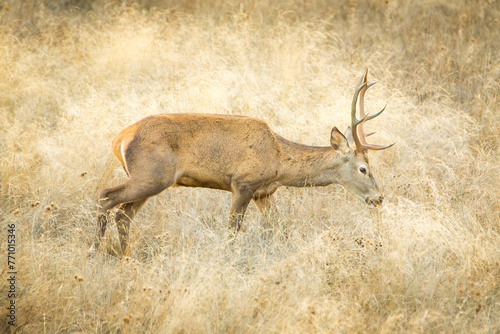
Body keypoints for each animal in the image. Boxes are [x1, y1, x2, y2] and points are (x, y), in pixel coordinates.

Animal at [90, 69, 394, 254]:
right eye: (363, 168)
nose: (379, 198)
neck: (278, 159)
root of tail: (120, 138)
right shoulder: (243, 183)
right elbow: (232, 230)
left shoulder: (264, 193)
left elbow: (281, 229)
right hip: (150, 175)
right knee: (106, 196)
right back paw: (95, 249)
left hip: (150, 179)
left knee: (123, 213)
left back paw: (125, 255)